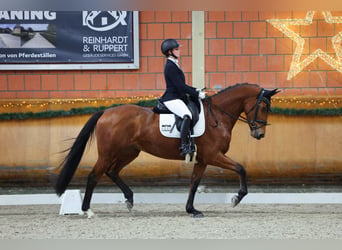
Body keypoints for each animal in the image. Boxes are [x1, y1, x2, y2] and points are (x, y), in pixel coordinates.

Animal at [54, 83, 280, 218]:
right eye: (263, 107)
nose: (259, 134)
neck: (218, 116)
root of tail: (106, 111)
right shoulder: (214, 155)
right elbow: (241, 168)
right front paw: (236, 198)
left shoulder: (203, 159)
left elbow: (194, 183)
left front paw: (192, 210)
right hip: (108, 154)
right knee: (94, 175)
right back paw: (88, 211)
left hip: (129, 152)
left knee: (112, 172)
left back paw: (129, 199)